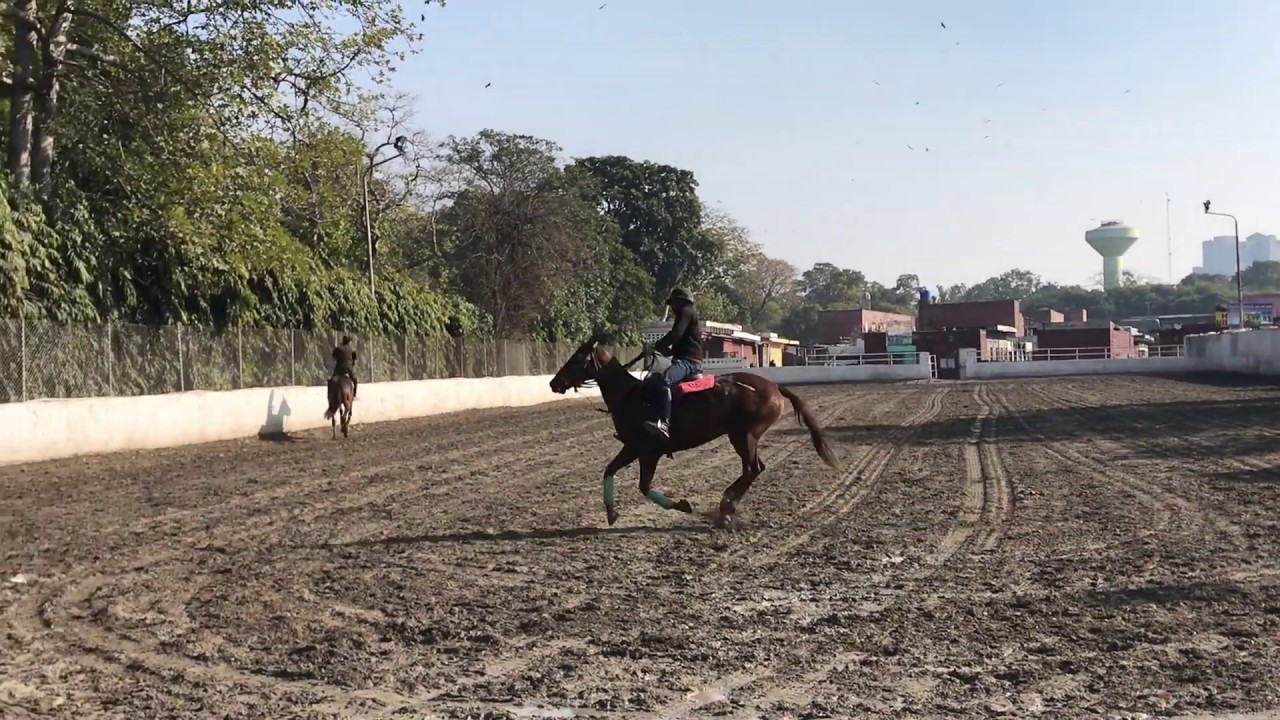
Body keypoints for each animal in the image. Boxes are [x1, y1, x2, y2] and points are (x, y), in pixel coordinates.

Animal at [549, 338, 840, 528]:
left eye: (578, 359)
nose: (554, 383)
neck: (633, 397)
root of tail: (775, 387)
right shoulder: (632, 447)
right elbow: (609, 471)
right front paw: (611, 512)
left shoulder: (649, 451)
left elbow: (644, 486)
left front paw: (682, 505)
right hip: (745, 438)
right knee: (754, 469)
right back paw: (726, 509)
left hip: (744, 436)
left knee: (751, 469)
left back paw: (725, 508)